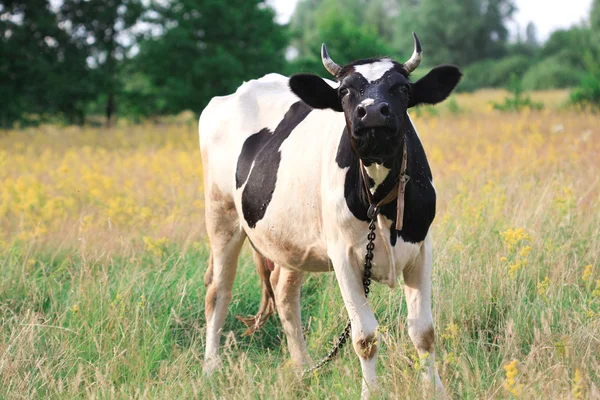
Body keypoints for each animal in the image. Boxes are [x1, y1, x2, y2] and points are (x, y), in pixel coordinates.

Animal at [199, 32, 462, 396]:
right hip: (221, 215)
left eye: (402, 89)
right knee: (218, 291)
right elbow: (365, 336)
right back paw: (211, 368)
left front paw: (436, 391)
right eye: (344, 91)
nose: (372, 112)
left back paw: (303, 368)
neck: (379, 198)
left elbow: (424, 332)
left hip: (290, 238)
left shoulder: (422, 248)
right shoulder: (343, 255)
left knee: (284, 292)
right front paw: (371, 393)